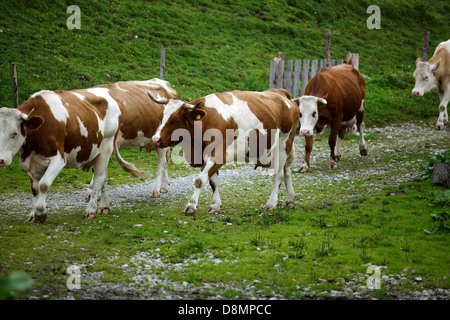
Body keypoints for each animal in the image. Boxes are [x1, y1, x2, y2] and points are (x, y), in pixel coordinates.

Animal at [149, 89, 300, 214]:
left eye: (175, 120)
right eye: (161, 117)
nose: (156, 139)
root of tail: (282, 94)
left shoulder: (218, 154)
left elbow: (200, 180)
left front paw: (191, 205)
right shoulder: (204, 156)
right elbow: (213, 182)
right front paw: (215, 205)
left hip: (282, 145)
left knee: (279, 175)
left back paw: (271, 204)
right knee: (287, 171)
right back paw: (290, 199)